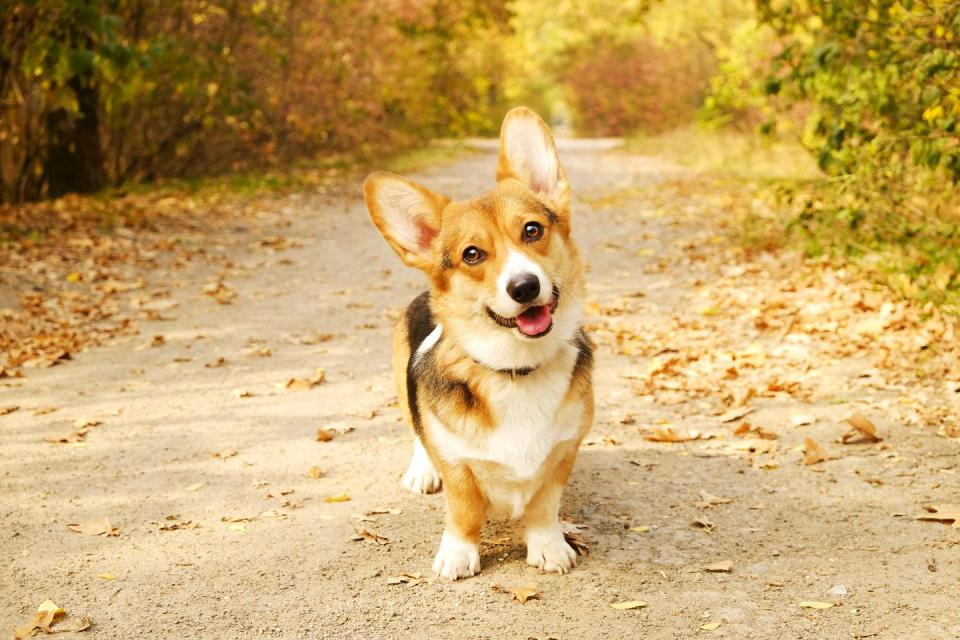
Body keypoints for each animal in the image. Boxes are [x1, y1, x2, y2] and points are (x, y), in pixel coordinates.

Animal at [364, 106, 592, 580]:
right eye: (472, 254)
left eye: (532, 230)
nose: (524, 287)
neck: (516, 370)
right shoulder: (458, 466)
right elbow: (464, 510)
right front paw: (459, 553)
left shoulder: (563, 453)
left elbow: (544, 507)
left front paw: (548, 545)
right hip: (403, 388)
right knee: (417, 431)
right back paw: (421, 471)